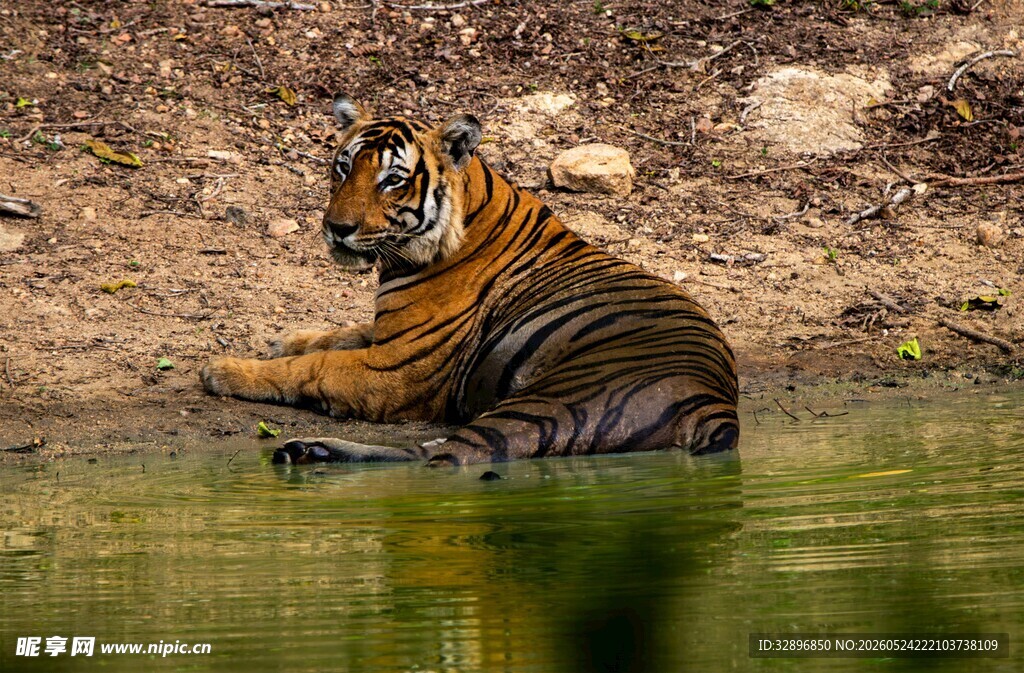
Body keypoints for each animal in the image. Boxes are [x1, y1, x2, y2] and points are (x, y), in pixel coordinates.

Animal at [200, 93, 739, 466]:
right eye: (344, 167)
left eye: (392, 179)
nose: (336, 228)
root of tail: (715, 404)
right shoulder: (390, 332)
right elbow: (337, 334)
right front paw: (283, 340)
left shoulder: (393, 369)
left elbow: (313, 367)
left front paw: (225, 370)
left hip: (547, 402)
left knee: (441, 458)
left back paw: (309, 451)